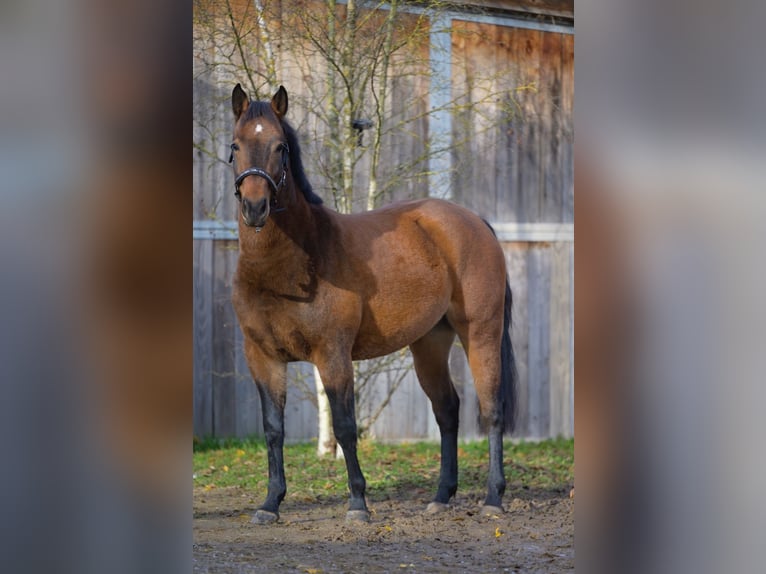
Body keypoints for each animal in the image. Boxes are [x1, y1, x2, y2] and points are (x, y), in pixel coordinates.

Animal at [228, 83, 516, 524]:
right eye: (236, 145)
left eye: (280, 147)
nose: (255, 207)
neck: (292, 263)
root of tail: (475, 223)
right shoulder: (262, 357)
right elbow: (273, 429)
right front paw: (270, 503)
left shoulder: (332, 355)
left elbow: (346, 427)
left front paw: (358, 504)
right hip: (429, 344)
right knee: (447, 410)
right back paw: (441, 496)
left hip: (481, 334)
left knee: (491, 408)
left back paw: (493, 499)